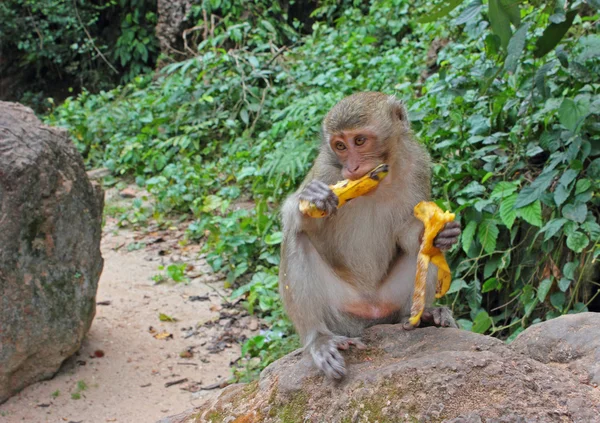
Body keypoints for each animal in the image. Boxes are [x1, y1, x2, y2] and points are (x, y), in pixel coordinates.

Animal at [278, 91, 462, 380]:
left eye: (360, 141)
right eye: (340, 146)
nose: (352, 167)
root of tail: (372, 313)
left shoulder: (418, 164)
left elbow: (409, 236)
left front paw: (441, 234)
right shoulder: (325, 169)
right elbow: (299, 224)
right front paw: (311, 200)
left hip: (391, 301)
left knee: (424, 255)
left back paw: (422, 316)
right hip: (342, 312)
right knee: (298, 239)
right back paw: (318, 339)